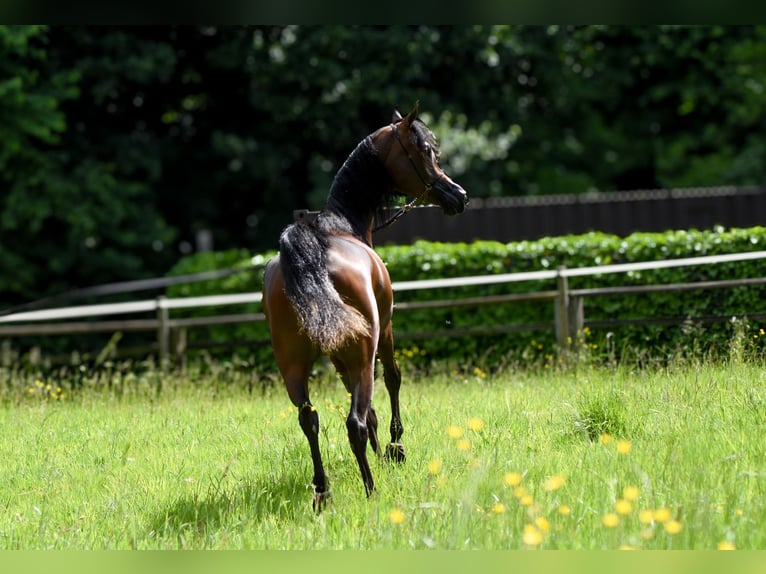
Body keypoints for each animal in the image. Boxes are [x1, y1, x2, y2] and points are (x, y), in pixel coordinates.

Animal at [262, 103, 468, 511]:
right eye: (425, 151)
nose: (459, 195)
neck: (341, 226)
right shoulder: (383, 331)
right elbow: (392, 379)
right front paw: (394, 447)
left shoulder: (338, 356)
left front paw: (379, 448)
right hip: (359, 352)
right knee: (352, 422)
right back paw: (371, 488)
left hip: (294, 368)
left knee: (310, 420)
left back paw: (323, 492)